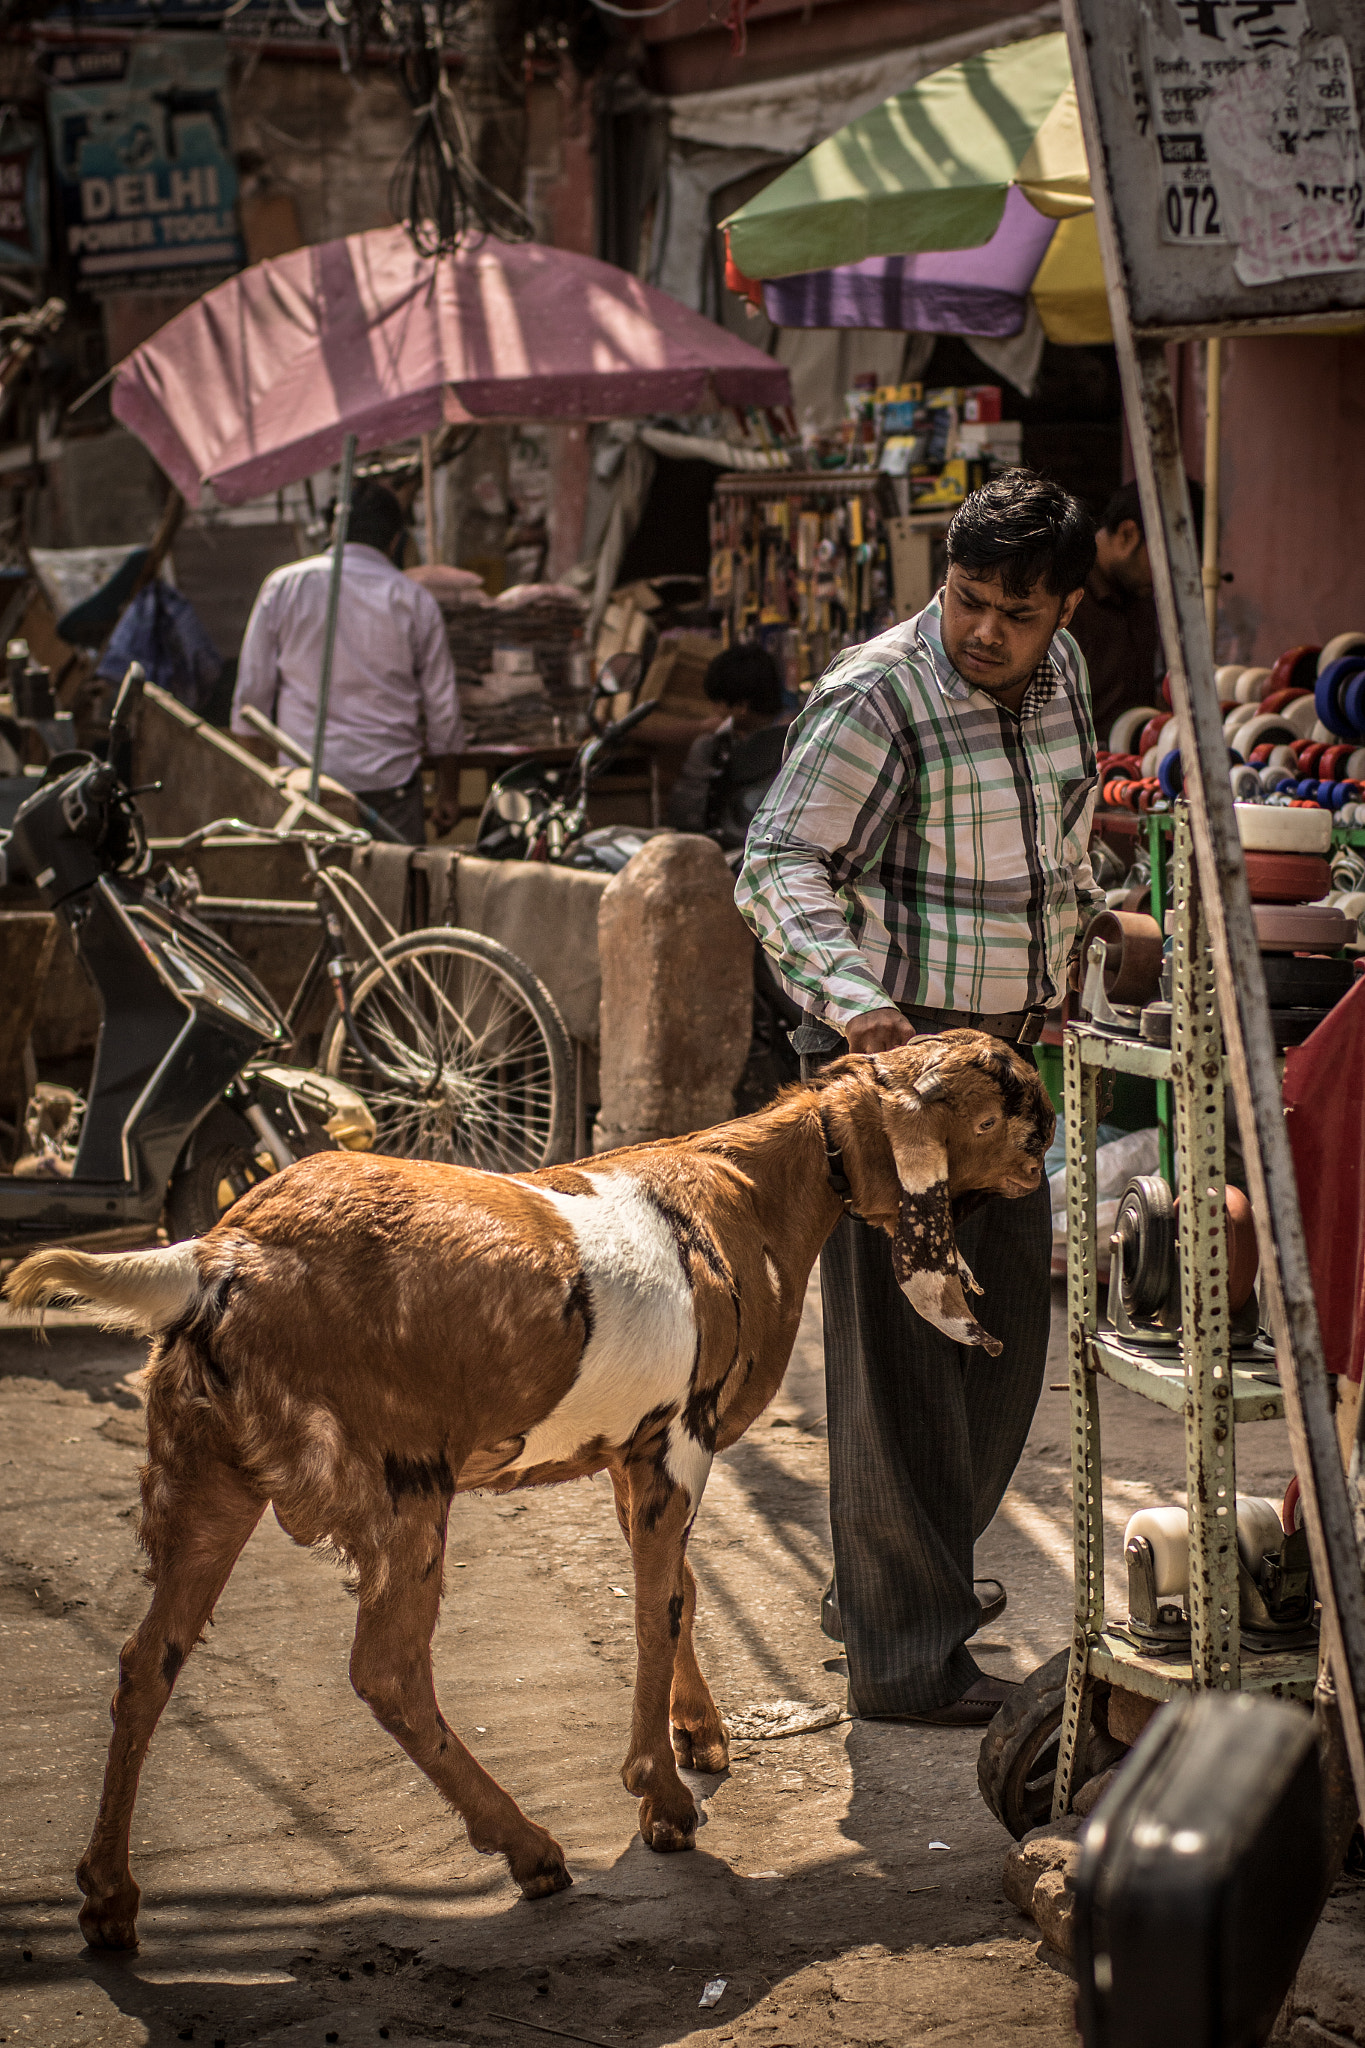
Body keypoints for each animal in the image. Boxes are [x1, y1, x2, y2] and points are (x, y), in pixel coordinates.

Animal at [5, 1032, 1055, 1941]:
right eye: (1004, 1098)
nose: (1049, 1136)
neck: (754, 1192)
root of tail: (220, 1259)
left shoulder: (634, 1450)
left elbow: (681, 1589)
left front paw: (699, 1736)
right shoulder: (680, 1439)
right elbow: (654, 1609)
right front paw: (661, 1802)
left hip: (203, 1474)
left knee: (147, 1660)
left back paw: (108, 1899)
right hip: (402, 1486)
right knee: (386, 1670)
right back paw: (529, 1851)